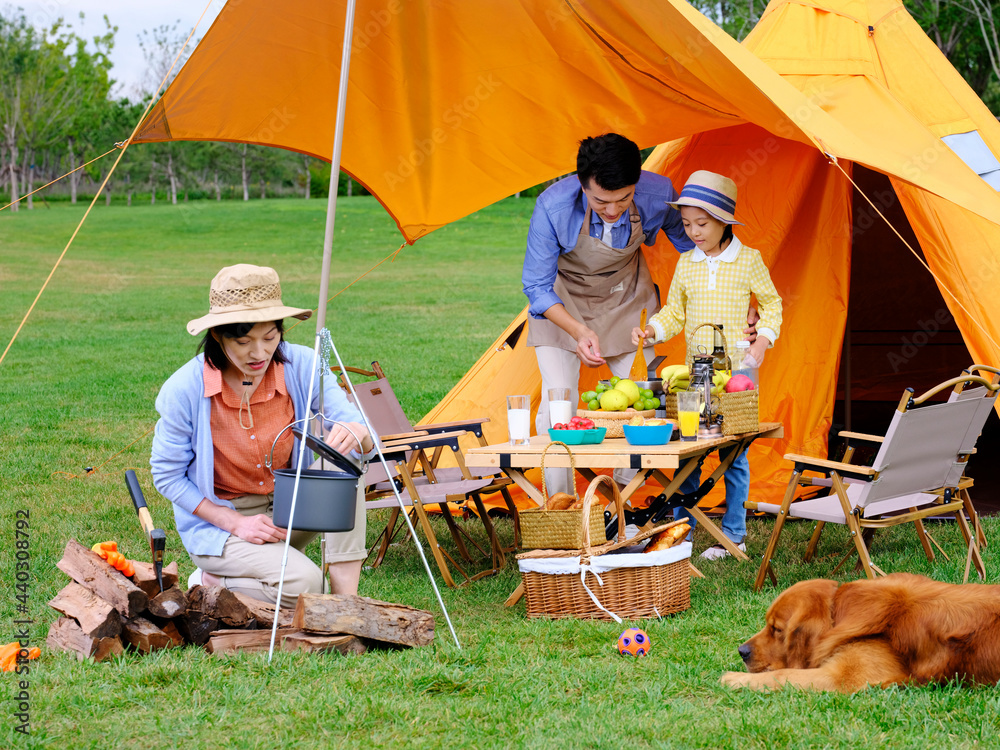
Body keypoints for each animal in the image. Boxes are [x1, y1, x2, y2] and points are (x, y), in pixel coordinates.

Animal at [724, 576, 1000, 692]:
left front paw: (733, 679)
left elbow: (783, 674)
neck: (837, 613)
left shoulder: (842, 678)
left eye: (777, 629)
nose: (741, 651)